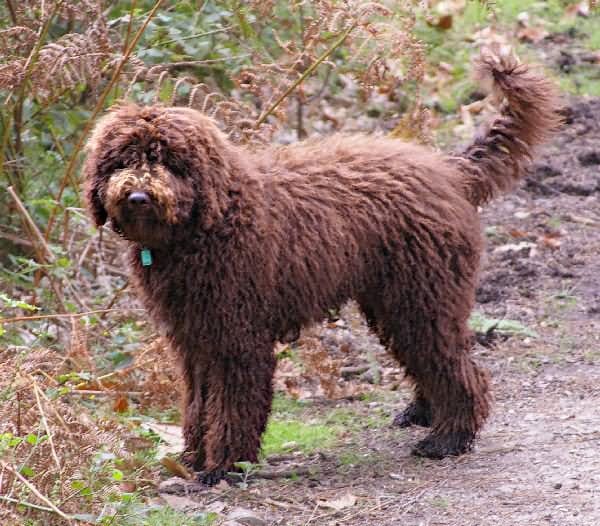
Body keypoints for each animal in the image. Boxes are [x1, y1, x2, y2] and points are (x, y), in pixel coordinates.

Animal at [83, 54, 564, 486]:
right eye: (121, 160)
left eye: (167, 160)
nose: (138, 197)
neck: (210, 221)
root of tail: (449, 170)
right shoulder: (194, 339)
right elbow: (199, 405)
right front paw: (192, 458)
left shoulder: (238, 340)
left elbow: (233, 407)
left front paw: (224, 467)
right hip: (395, 300)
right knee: (431, 361)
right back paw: (424, 413)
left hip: (424, 297)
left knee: (458, 368)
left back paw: (449, 438)